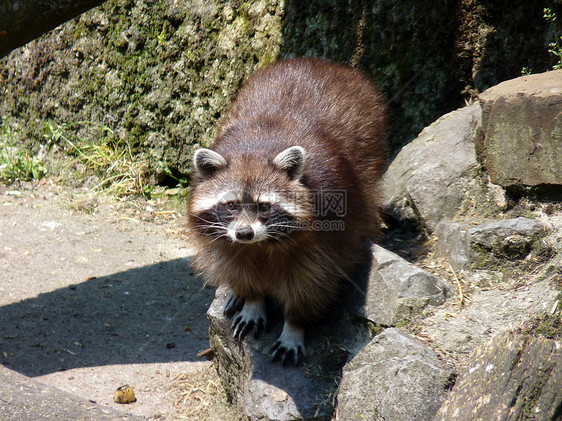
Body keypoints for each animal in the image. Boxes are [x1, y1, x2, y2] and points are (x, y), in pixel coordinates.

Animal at [187, 56, 384, 364]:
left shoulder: (327, 235)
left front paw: (295, 324)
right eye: (231, 205)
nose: (244, 233)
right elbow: (236, 266)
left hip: (369, 147)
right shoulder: (225, 241)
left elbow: (312, 282)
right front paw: (252, 299)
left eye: (264, 206)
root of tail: (321, 63)